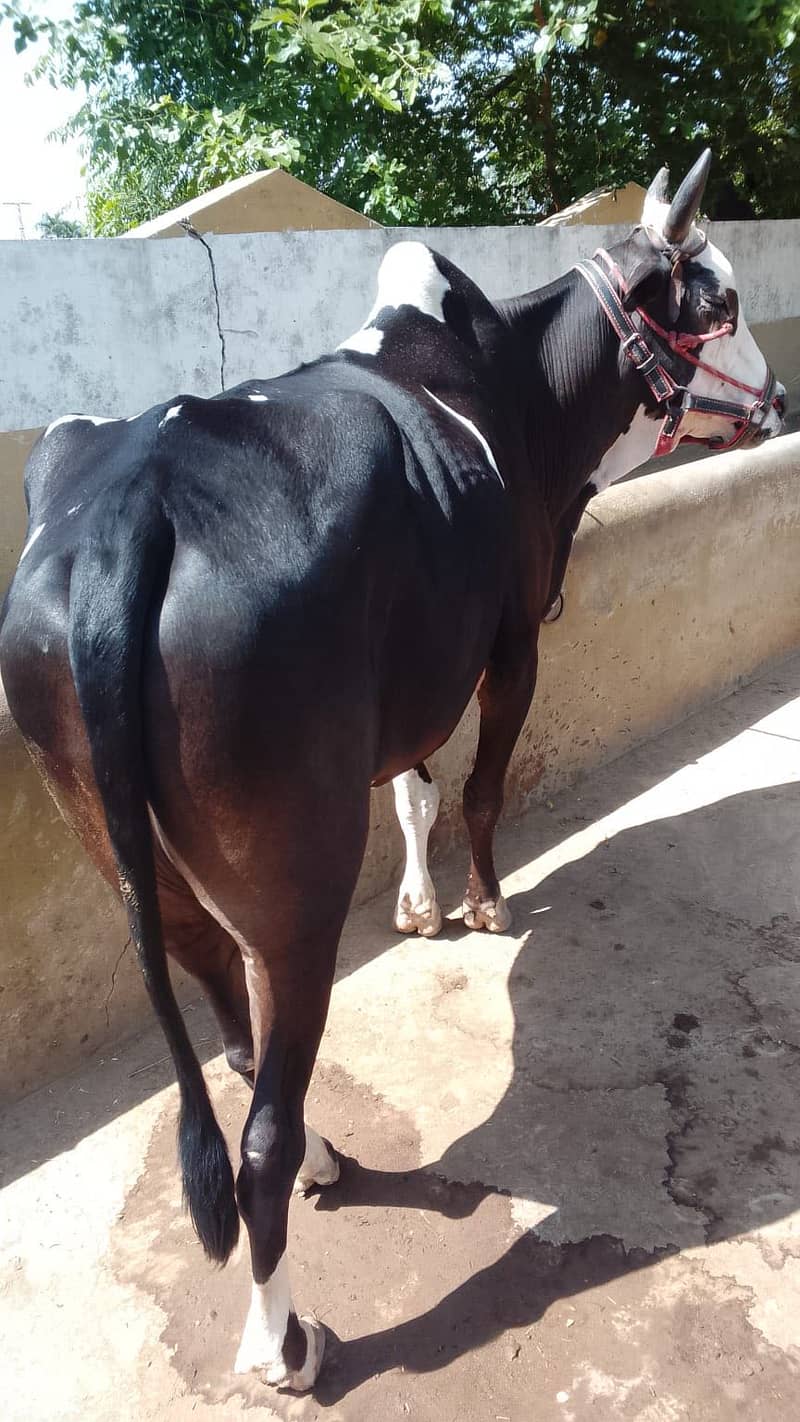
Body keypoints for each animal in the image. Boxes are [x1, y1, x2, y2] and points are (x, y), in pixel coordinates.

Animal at [0, 151, 784, 1391]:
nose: (778, 402)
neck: (522, 394)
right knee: (258, 1131)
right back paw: (283, 1336)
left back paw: (323, 1156)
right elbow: (476, 787)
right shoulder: (510, 637)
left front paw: (418, 906)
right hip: (296, 887)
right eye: (723, 301)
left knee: (236, 1043)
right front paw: (482, 901)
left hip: (139, 864)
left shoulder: (414, 678)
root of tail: (130, 514)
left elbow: (414, 788)